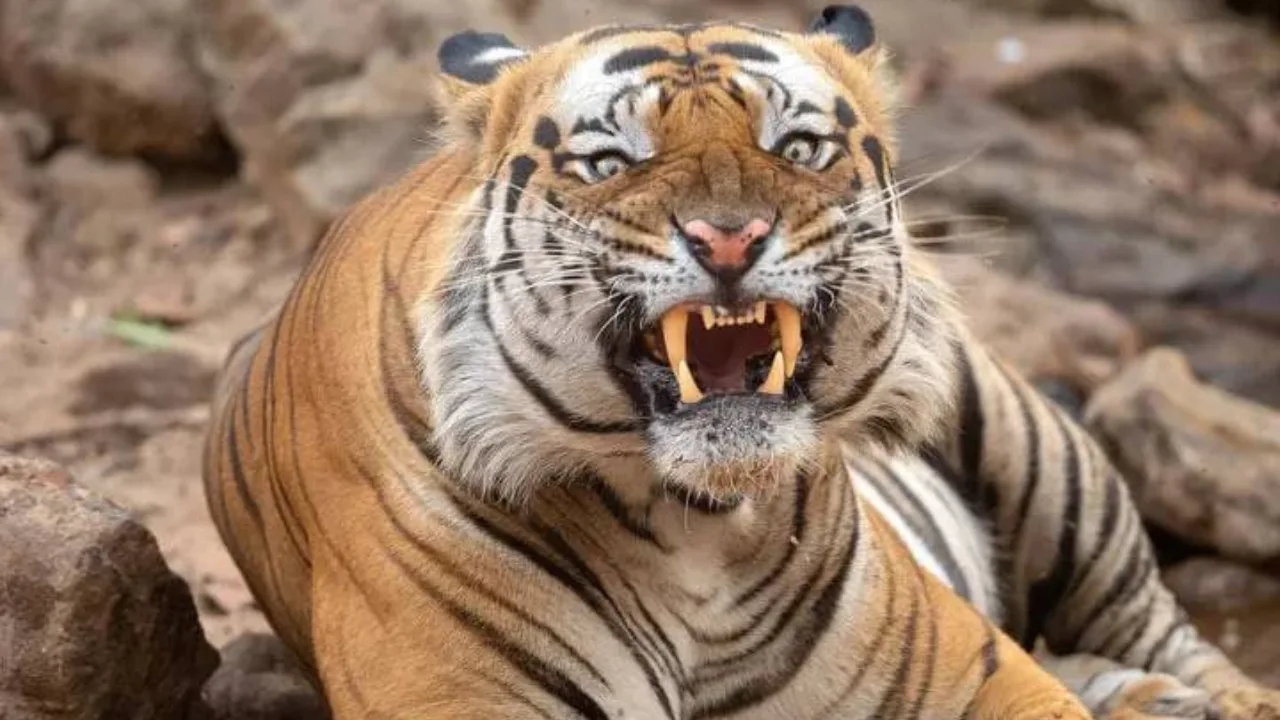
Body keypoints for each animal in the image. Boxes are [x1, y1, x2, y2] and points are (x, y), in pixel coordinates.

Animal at [202, 5, 1280, 719]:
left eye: (797, 147)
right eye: (612, 162)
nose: (730, 238)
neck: (697, 531)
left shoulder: (976, 674)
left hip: (1035, 452)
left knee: (1162, 626)